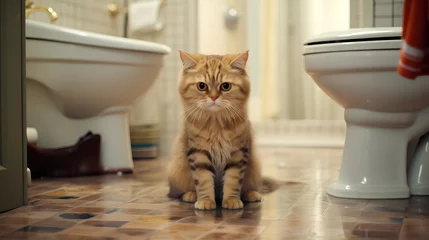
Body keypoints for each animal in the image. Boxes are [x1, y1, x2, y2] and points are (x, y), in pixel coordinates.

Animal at [166, 50, 276, 210]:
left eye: (225, 86)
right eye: (201, 86)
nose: (213, 97)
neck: (216, 125)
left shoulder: (237, 154)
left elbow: (232, 181)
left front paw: (231, 200)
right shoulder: (198, 154)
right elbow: (203, 181)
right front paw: (205, 201)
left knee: (249, 187)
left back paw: (251, 194)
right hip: (176, 172)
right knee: (177, 193)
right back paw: (190, 195)